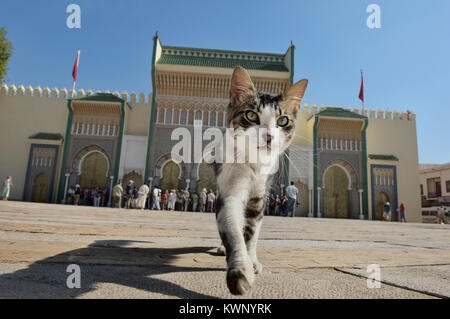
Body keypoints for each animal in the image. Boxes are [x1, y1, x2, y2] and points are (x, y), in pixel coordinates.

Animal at [214, 67, 306, 296]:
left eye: (283, 120)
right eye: (251, 115)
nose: (269, 136)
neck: (254, 164)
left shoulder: (260, 195)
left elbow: (252, 231)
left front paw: (252, 261)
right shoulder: (229, 189)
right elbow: (232, 228)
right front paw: (240, 270)